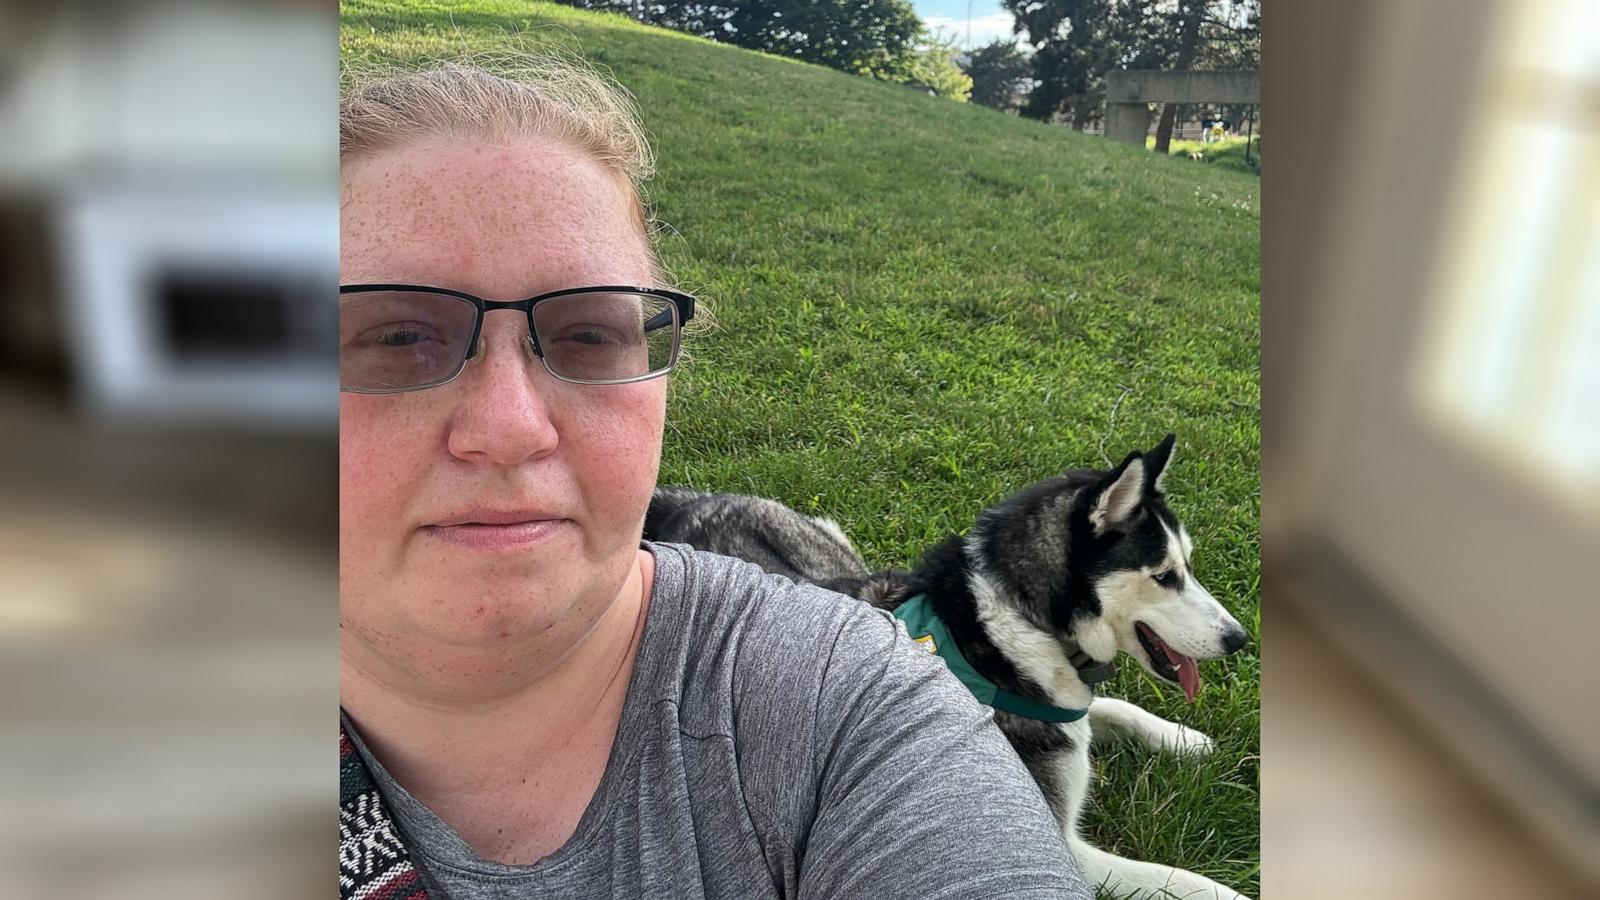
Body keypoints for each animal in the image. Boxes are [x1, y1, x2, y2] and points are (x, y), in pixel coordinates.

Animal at [646, 432, 1248, 890]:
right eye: (1165, 576)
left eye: (1189, 566)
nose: (1238, 638)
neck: (1014, 628)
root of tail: (687, 503)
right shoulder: (1059, 842)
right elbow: (1183, 881)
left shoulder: (1067, 711)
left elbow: (1116, 708)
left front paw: (1185, 740)